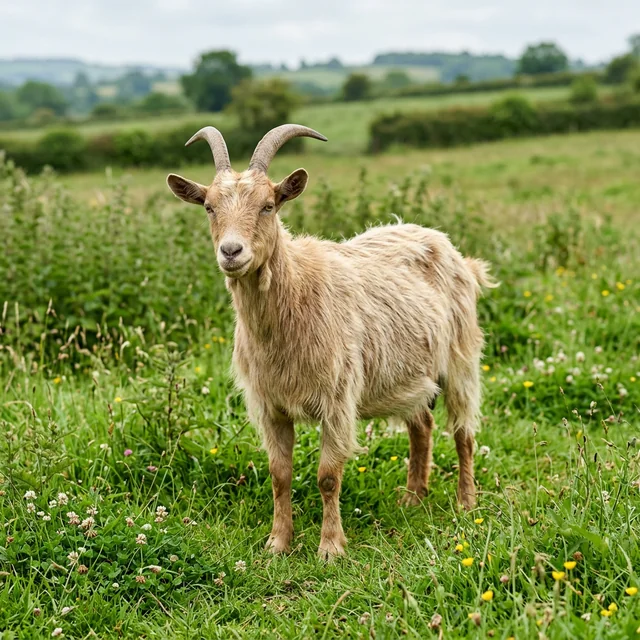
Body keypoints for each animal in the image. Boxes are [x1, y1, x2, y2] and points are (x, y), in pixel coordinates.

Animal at [167, 124, 495, 559]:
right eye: (208, 207)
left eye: (268, 205)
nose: (231, 251)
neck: (296, 296)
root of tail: (449, 248)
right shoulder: (270, 405)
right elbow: (279, 474)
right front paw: (278, 543)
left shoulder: (337, 399)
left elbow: (327, 475)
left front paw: (330, 548)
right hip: (409, 373)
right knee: (421, 424)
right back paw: (413, 497)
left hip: (460, 358)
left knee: (463, 430)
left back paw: (465, 502)